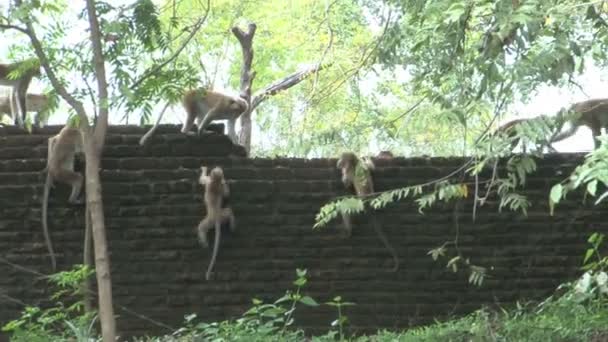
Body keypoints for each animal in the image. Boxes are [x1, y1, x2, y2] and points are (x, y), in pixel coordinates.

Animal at [41, 124, 85, 272]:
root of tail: (54, 170)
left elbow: (52, 139)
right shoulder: (77, 134)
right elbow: (81, 152)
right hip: (63, 174)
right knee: (78, 178)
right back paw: (74, 201)